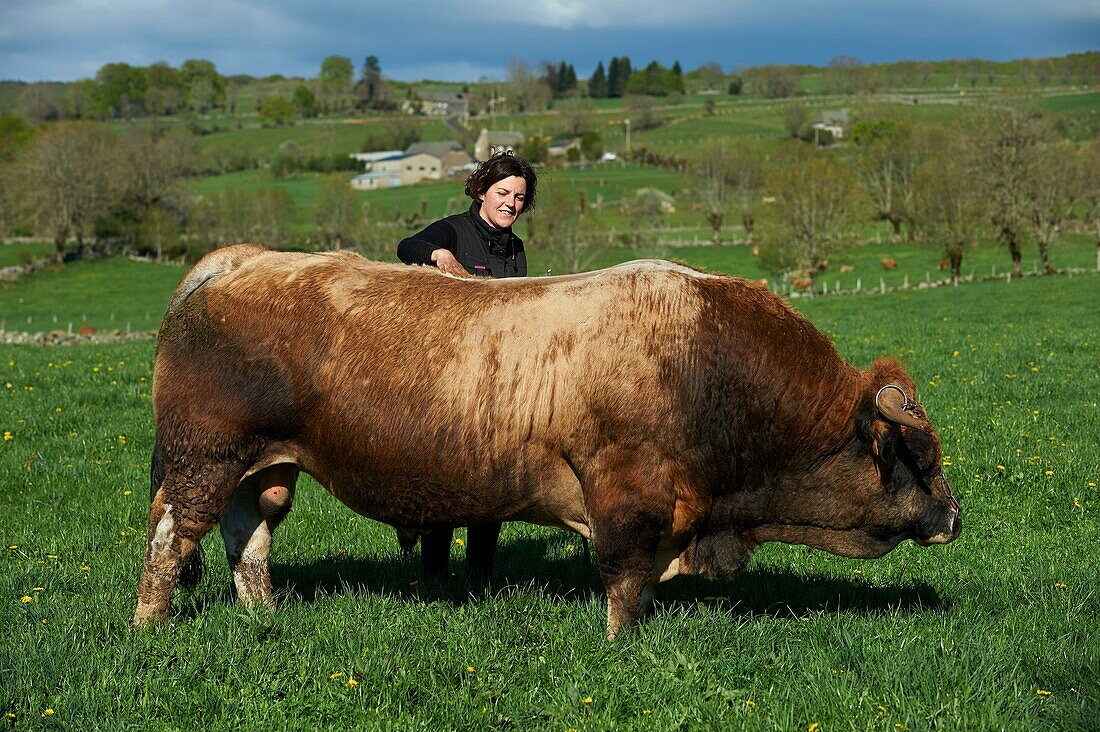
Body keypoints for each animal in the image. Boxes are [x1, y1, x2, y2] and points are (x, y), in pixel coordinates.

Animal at [135, 242, 963, 638]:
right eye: (917, 458)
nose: (955, 518)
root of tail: (239, 260)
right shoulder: (627, 495)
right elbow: (624, 579)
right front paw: (620, 645)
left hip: (262, 469)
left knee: (248, 537)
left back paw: (263, 617)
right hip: (205, 458)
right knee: (172, 536)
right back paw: (150, 627)